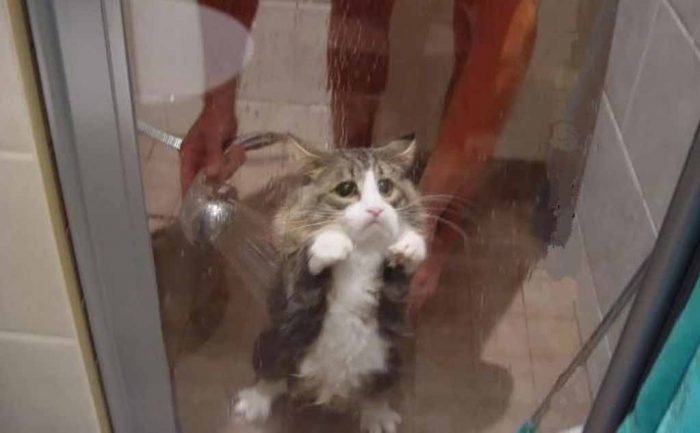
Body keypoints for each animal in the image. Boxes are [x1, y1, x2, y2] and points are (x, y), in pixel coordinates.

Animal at [235, 135, 426, 432]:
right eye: (346, 189)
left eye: (385, 187)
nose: (375, 209)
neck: (361, 253)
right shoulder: (296, 304)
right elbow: (309, 270)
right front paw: (331, 242)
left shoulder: (395, 302)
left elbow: (399, 272)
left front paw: (410, 245)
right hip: (271, 342)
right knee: (271, 377)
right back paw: (255, 402)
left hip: (392, 358)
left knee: (376, 392)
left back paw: (378, 415)